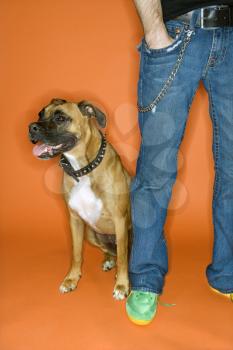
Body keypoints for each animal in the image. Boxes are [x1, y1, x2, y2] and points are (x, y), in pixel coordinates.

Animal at [27, 99, 131, 300]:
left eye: (60, 118)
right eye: (40, 114)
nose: (31, 127)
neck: (83, 169)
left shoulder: (119, 220)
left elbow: (123, 257)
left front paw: (122, 285)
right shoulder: (74, 220)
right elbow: (76, 253)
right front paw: (71, 279)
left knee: (125, 253)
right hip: (91, 234)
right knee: (111, 252)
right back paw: (108, 260)